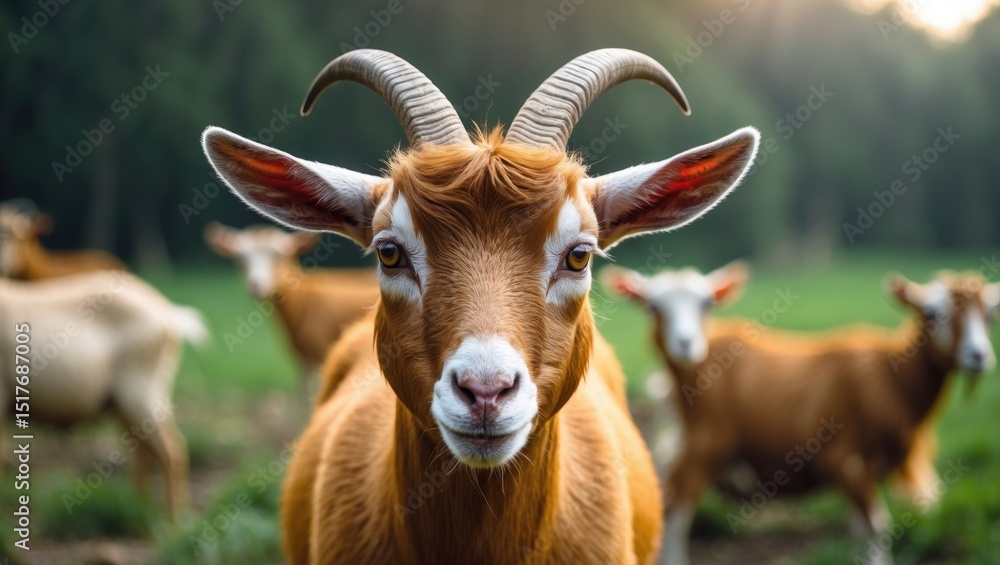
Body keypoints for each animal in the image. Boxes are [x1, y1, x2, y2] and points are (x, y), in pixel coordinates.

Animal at [0, 269, 207, 519]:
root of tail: (169, 313)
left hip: (142, 391)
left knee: (172, 451)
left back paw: (174, 521)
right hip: (123, 405)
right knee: (144, 453)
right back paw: (138, 508)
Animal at [204, 222, 378, 395]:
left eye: (278, 257)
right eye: (241, 259)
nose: (256, 285)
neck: (305, 298)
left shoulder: (318, 354)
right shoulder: (303, 358)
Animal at [604, 264, 999, 565]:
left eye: (989, 315)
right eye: (933, 313)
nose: (979, 356)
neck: (891, 375)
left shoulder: (863, 471)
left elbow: (861, 529)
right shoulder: (842, 458)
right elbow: (878, 527)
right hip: (704, 447)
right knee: (675, 514)